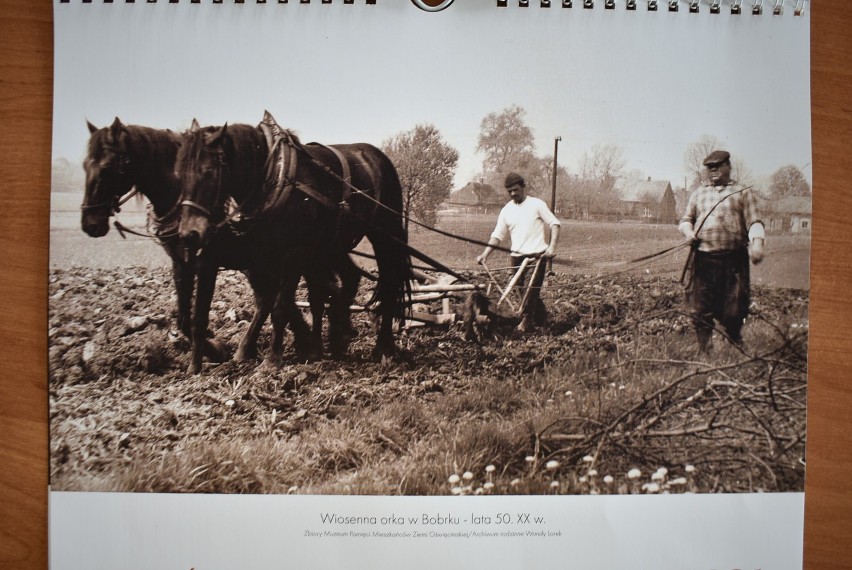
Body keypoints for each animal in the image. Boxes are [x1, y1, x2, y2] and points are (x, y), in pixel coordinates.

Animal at [80, 117, 360, 370]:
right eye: (84, 166)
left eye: (106, 168)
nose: (89, 224)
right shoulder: (180, 262)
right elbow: (183, 318)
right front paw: (215, 349)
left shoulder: (208, 262)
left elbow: (200, 316)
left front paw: (205, 357)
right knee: (309, 290)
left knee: (328, 286)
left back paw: (332, 336)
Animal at [176, 114, 410, 364]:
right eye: (178, 174)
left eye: (208, 172)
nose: (189, 233)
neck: (274, 175)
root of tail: (378, 156)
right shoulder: (264, 256)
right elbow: (276, 300)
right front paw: (309, 348)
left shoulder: (294, 255)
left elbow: (281, 304)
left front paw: (272, 358)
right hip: (332, 246)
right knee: (348, 280)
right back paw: (337, 339)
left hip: (385, 236)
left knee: (388, 284)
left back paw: (383, 346)